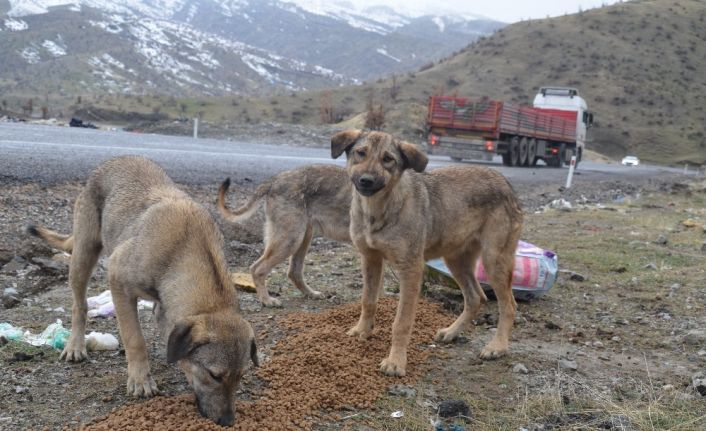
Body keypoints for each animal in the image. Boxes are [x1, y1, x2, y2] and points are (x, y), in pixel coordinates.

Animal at [28, 155, 258, 426]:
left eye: (241, 375)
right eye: (214, 375)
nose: (227, 421)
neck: (187, 249)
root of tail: (115, 160)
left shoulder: (164, 307)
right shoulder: (118, 281)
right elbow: (135, 339)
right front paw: (140, 379)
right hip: (83, 255)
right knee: (79, 305)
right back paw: (75, 345)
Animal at [217, 165, 352, 308]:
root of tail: (274, 180)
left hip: (302, 238)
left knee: (294, 272)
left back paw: (311, 293)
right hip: (290, 240)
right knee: (257, 268)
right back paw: (267, 300)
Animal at [332, 130, 524, 376]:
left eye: (388, 159)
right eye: (360, 153)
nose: (366, 180)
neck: (376, 210)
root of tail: (505, 181)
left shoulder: (411, 269)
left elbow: (401, 322)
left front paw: (396, 361)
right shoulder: (370, 259)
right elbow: (368, 300)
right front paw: (362, 331)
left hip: (494, 260)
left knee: (508, 305)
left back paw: (497, 347)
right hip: (456, 259)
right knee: (476, 297)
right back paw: (452, 332)